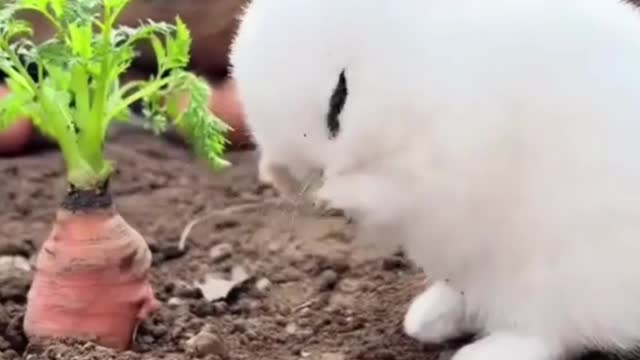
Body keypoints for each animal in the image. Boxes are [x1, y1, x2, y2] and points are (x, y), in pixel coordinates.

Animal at [230, 0, 640, 360]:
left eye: (340, 96)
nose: (308, 172)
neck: (420, 62)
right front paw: (277, 174)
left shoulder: (444, 169)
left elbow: (387, 194)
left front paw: (332, 193)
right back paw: (426, 320)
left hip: (558, 280)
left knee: (548, 336)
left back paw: (478, 353)